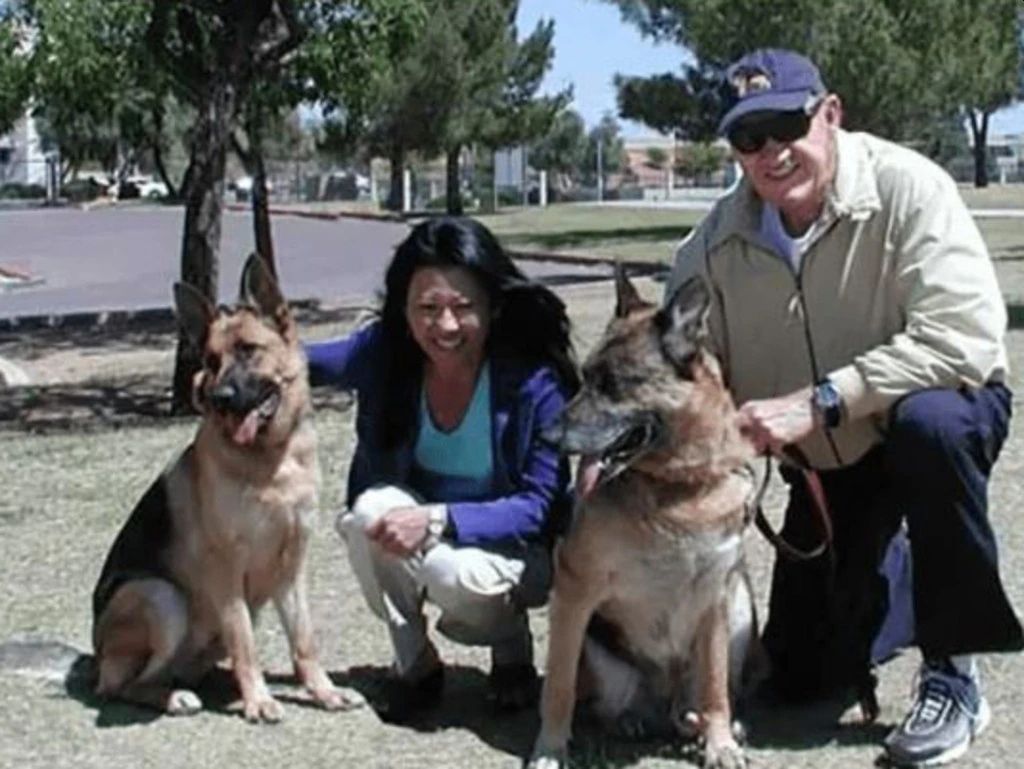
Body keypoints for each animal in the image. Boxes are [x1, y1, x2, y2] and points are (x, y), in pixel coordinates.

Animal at [92, 253, 362, 720]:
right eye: (211, 358)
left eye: (249, 350)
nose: (218, 397)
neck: (270, 463)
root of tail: (95, 656)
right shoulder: (227, 567)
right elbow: (245, 643)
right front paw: (259, 701)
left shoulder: (292, 565)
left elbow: (304, 640)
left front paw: (323, 691)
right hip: (161, 597)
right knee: (126, 685)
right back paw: (174, 697)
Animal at [528, 270, 761, 769]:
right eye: (584, 377)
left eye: (615, 384)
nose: (547, 436)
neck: (676, 488)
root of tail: (666, 699)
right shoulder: (574, 591)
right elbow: (558, 685)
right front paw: (550, 748)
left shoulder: (716, 597)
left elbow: (715, 686)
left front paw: (719, 744)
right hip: (601, 655)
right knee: (604, 704)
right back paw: (632, 721)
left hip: (740, 613)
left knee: (703, 697)